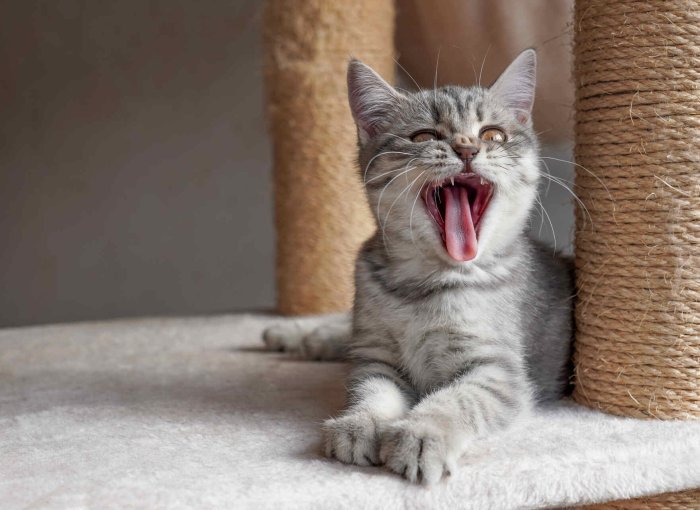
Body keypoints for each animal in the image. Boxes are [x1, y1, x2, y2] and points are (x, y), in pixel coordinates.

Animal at [262, 50, 576, 486]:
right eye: (424, 137)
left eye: (493, 135)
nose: (467, 148)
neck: (424, 286)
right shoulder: (375, 356)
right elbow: (371, 391)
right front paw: (360, 423)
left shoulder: (498, 371)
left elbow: (457, 400)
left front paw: (421, 433)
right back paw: (294, 334)